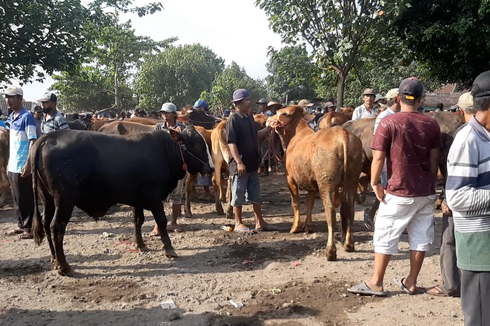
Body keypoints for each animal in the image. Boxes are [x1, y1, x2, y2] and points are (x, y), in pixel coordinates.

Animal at [31, 126, 212, 276]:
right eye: (198, 146)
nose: (210, 168)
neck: (165, 152)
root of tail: (48, 137)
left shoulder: (137, 200)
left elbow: (138, 220)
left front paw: (140, 245)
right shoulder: (153, 197)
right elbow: (161, 221)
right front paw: (169, 248)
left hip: (47, 199)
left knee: (46, 225)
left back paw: (54, 259)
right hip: (64, 201)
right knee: (57, 228)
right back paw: (64, 266)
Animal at [268, 105, 364, 262]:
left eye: (281, 113)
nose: (269, 120)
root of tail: (341, 132)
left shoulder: (290, 180)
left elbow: (296, 203)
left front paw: (295, 227)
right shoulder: (311, 184)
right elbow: (309, 203)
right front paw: (309, 226)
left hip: (326, 182)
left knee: (330, 211)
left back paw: (330, 251)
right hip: (352, 179)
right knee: (349, 209)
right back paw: (348, 244)